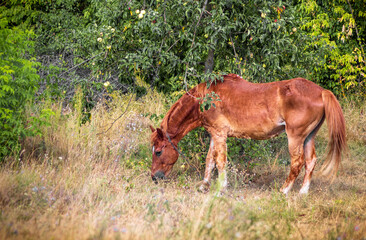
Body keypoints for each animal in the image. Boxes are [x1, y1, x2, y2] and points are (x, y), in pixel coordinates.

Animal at [149, 73, 346, 195]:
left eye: (158, 151)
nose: (154, 177)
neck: (206, 98)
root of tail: (321, 91)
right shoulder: (214, 134)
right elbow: (210, 160)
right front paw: (204, 185)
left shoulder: (220, 134)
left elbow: (220, 162)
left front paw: (221, 188)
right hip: (308, 137)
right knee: (311, 161)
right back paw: (303, 192)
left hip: (295, 137)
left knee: (297, 163)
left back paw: (284, 190)